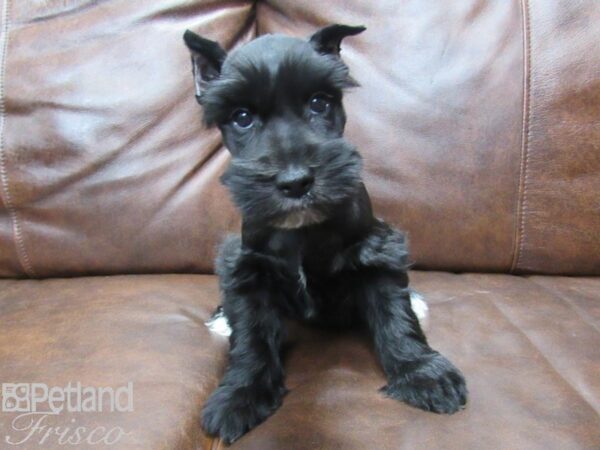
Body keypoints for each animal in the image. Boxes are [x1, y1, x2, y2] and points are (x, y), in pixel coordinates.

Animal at [185, 23, 466, 442]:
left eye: (319, 102)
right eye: (241, 116)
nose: (296, 181)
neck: (303, 231)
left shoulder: (377, 253)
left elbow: (396, 318)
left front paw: (423, 373)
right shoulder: (249, 269)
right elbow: (251, 337)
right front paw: (241, 394)